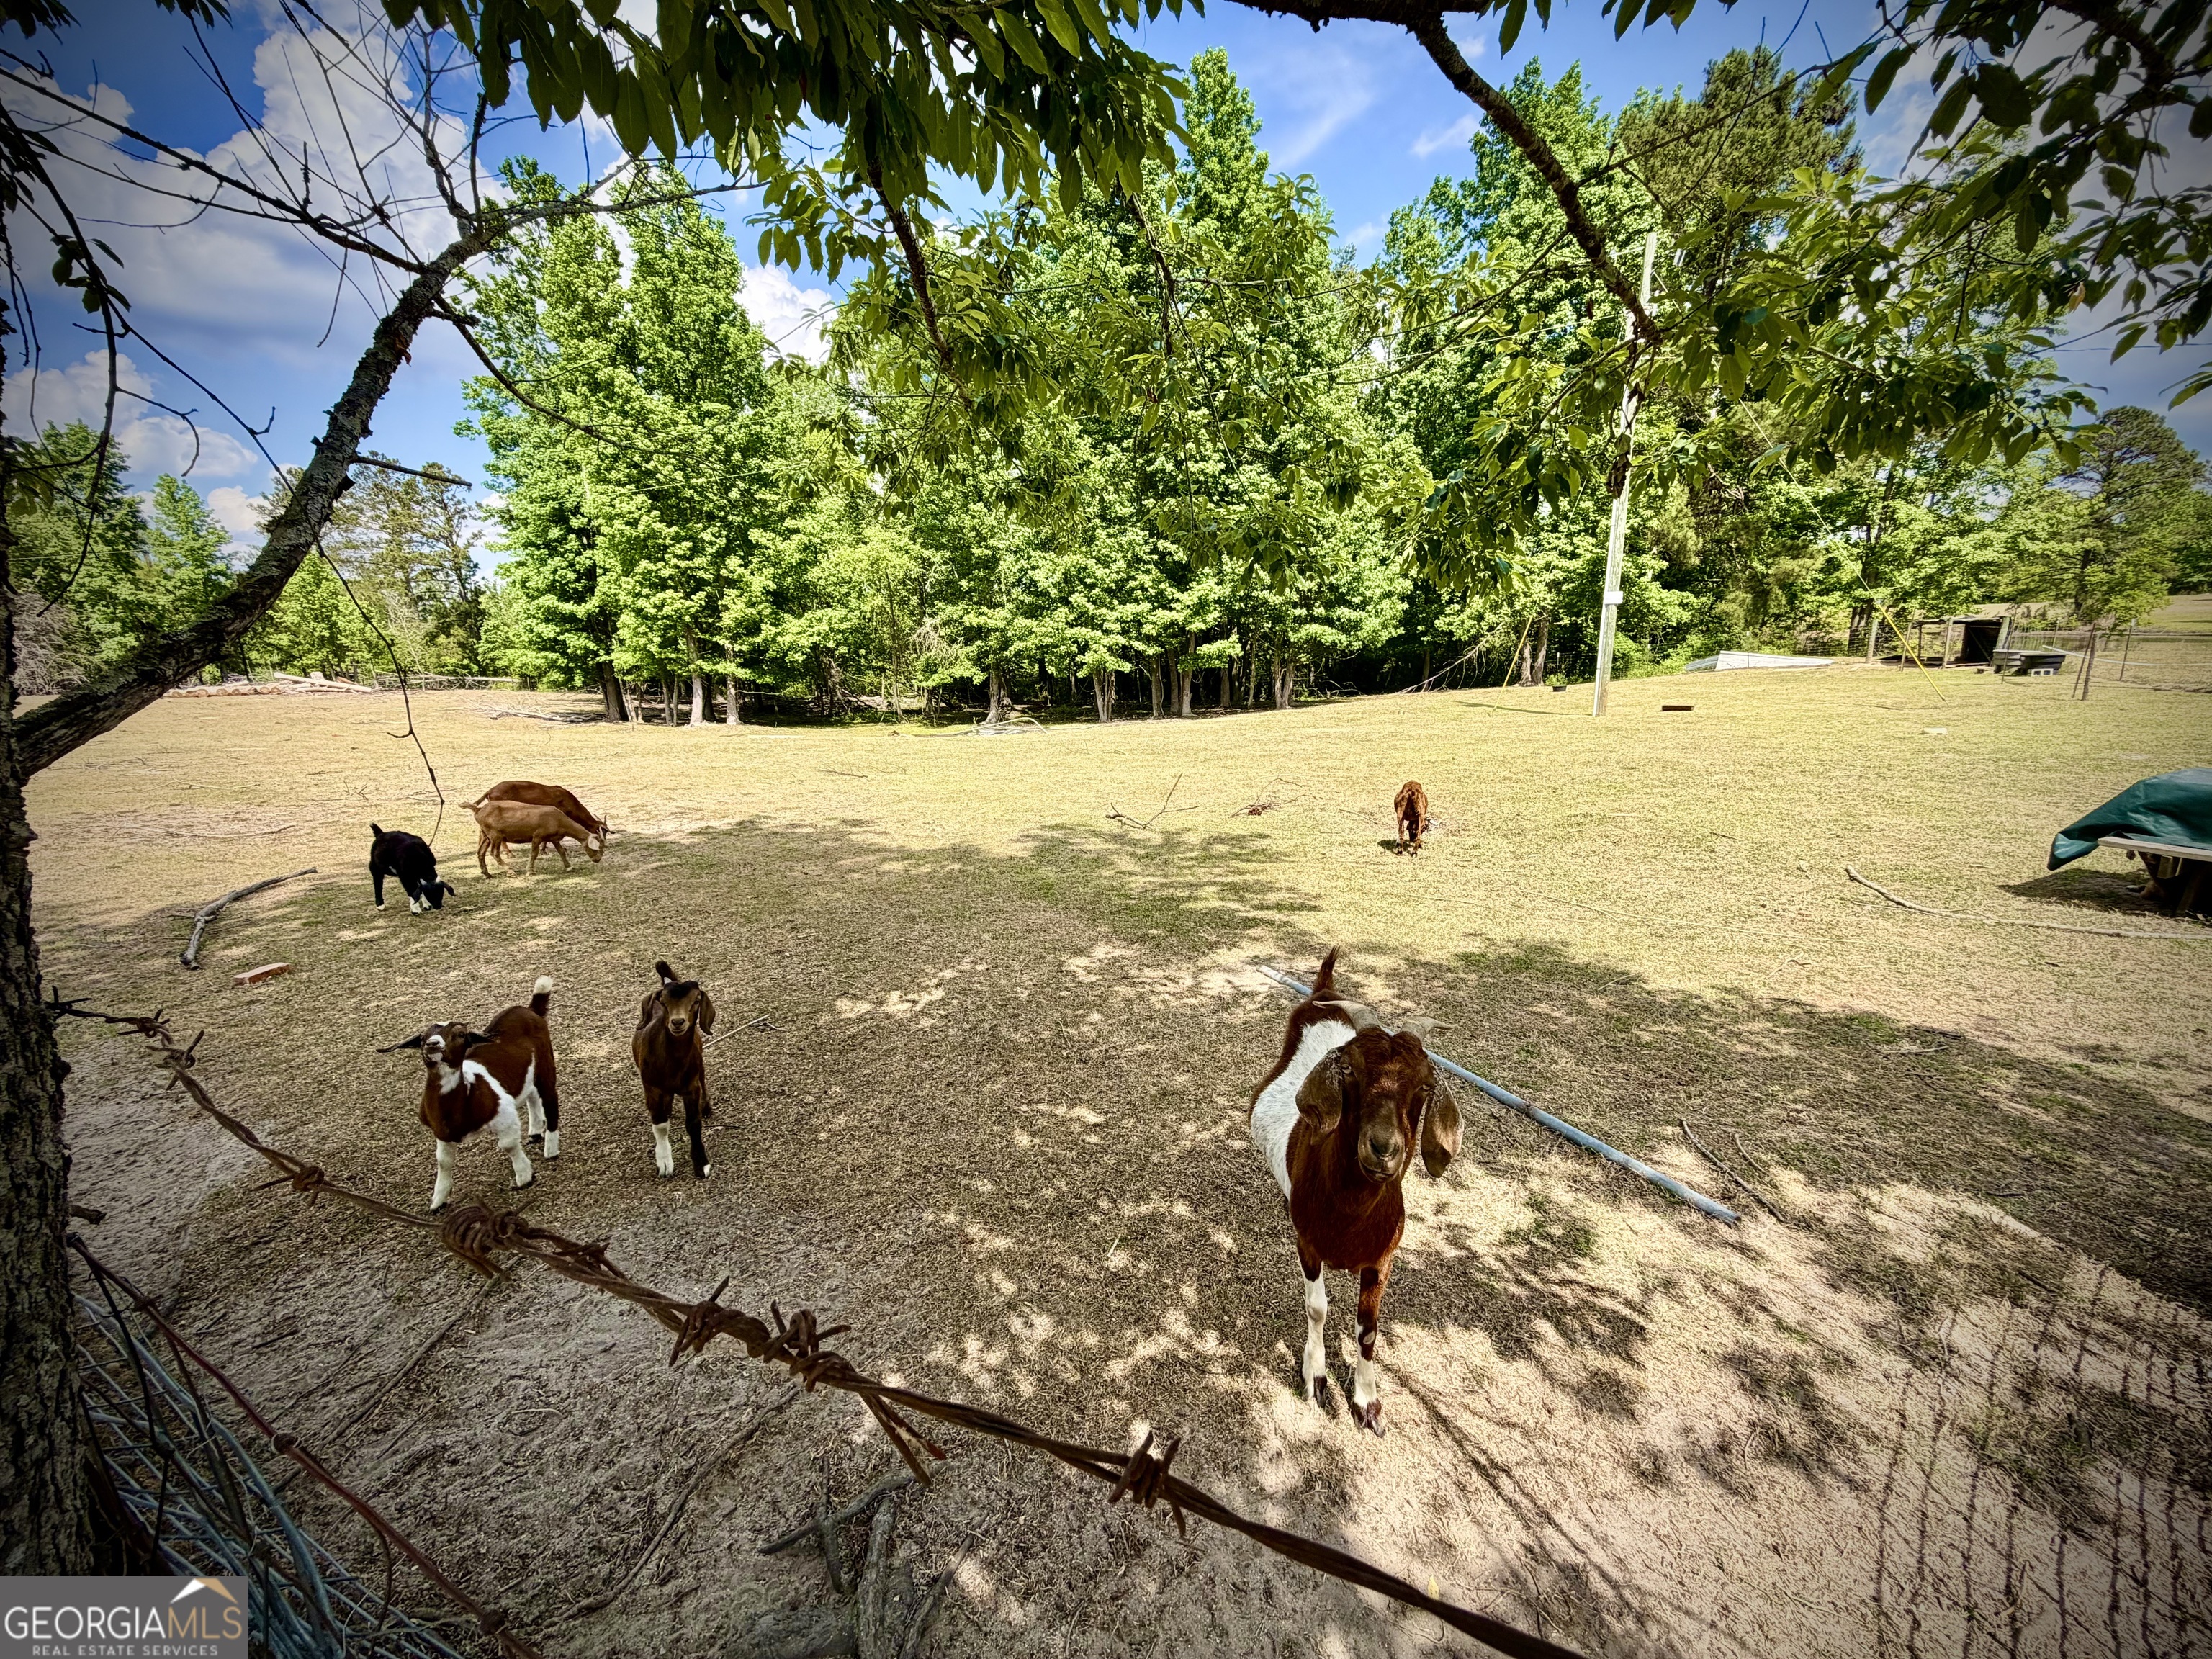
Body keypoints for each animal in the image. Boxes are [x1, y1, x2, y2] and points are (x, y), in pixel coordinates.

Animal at [387, 976, 561, 1212]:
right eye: (422, 1037)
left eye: (461, 1034)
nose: (433, 1044)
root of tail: (530, 1009)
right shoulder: (441, 1133)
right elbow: (443, 1161)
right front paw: (438, 1201)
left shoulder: (504, 1113)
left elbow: (508, 1145)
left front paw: (525, 1177)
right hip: (528, 1070)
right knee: (532, 1093)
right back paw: (535, 1131)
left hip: (545, 1064)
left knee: (550, 1099)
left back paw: (551, 1149)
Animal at [467, 798, 604, 877]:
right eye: (596, 848)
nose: (597, 859)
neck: (557, 819)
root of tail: (478, 810)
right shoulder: (538, 836)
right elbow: (534, 853)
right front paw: (530, 871)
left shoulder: (554, 838)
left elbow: (561, 851)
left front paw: (569, 867)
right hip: (495, 835)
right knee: (494, 853)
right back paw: (510, 871)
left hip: (485, 834)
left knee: (480, 852)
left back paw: (487, 874)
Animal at [469, 781, 608, 852]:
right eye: (602, 831)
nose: (604, 845)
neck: (569, 802)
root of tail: (489, 792)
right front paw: (544, 848)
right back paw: (508, 853)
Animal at [633, 959, 716, 1179]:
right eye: (664, 1002)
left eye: (696, 1001)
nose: (678, 1022)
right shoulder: (652, 1087)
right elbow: (661, 1125)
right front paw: (664, 1163)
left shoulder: (691, 1087)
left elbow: (694, 1123)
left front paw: (701, 1164)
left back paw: (706, 1106)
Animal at [1249, 948, 1458, 1434]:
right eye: (1349, 1070)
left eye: (1425, 1085)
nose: (1383, 1149)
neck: (1350, 1215)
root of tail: (1323, 990)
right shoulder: (1309, 1244)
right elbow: (1318, 1308)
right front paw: (1315, 1377)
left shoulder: (1382, 1257)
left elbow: (1368, 1327)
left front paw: (1367, 1401)